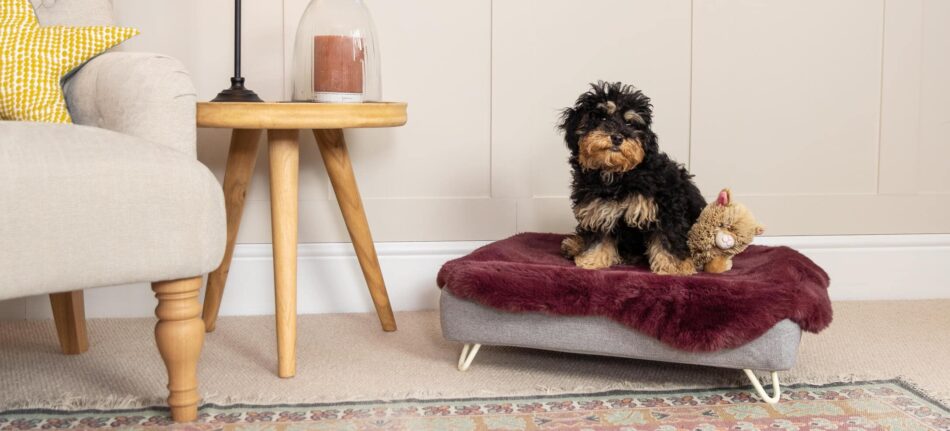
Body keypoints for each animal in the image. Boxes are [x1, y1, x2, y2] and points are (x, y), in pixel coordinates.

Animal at [564, 82, 708, 276]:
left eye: (629, 123)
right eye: (602, 118)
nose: (617, 137)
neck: (618, 175)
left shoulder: (665, 206)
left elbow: (667, 236)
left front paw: (674, 267)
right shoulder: (597, 208)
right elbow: (598, 236)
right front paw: (592, 260)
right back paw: (574, 245)